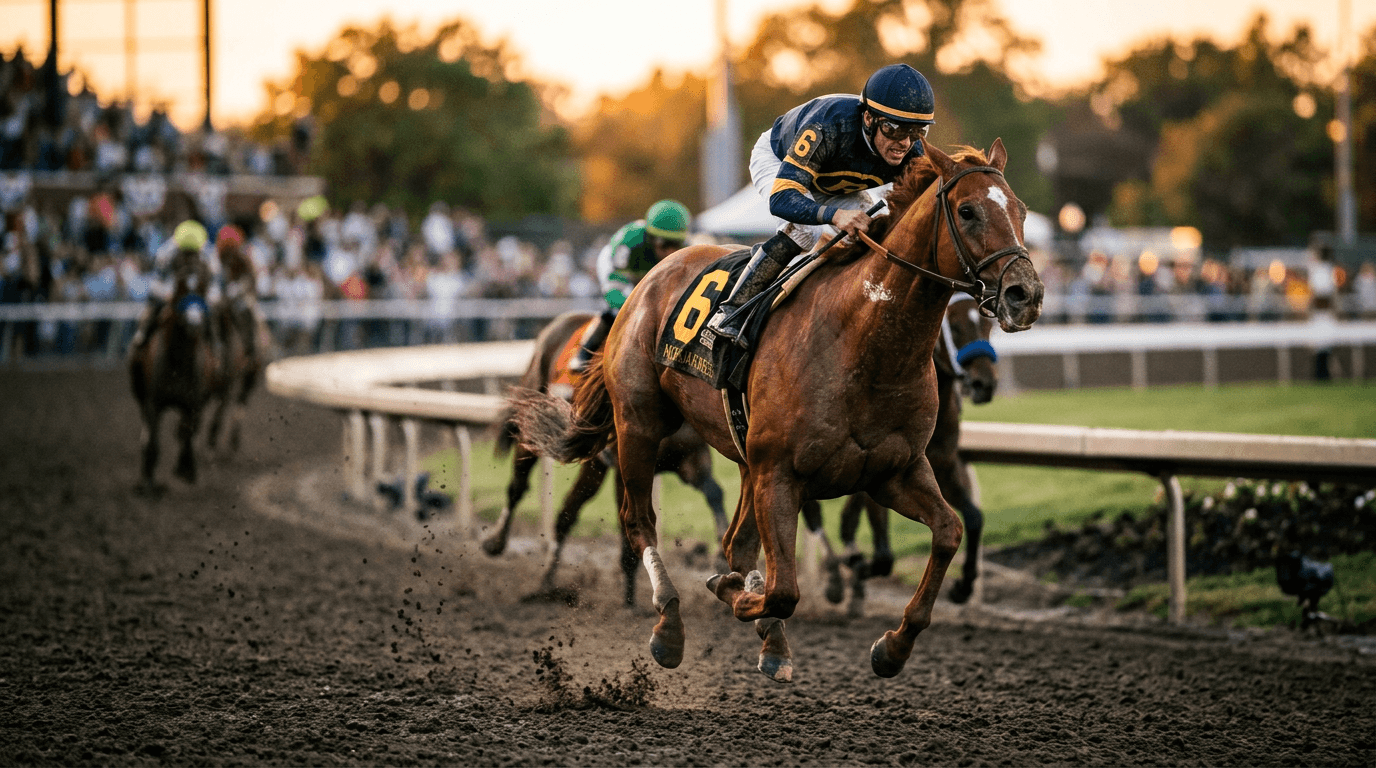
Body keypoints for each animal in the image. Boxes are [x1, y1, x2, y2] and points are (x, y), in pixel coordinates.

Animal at [128, 257, 222, 494]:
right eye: (181, 287)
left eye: (203, 286)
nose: (194, 322)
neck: (178, 363)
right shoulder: (153, 402)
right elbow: (153, 441)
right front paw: (148, 481)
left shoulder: (194, 403)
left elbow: (187, 433)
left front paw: (186, 469)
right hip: (140, 392)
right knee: (147, 432)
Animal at [485, 311, 730, 605]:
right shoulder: (625, 466)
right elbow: (629, 530)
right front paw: (630, 602)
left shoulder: (689, 457)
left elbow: (714, 492)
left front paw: (721, 557)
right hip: (535, 423)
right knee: (518, 486)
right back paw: (497, 542)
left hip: (593, 464)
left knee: (567, 512)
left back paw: (547, 581)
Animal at [801, 291, 998, 616]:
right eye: (955, 326)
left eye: (986, 324)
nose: (985, 385)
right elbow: (883, 557)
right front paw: (854, 569)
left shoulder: (944, 467)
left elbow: (974, 517)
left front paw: (963, 586)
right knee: (813, 514)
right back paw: (835, 578)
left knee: (843, 520)